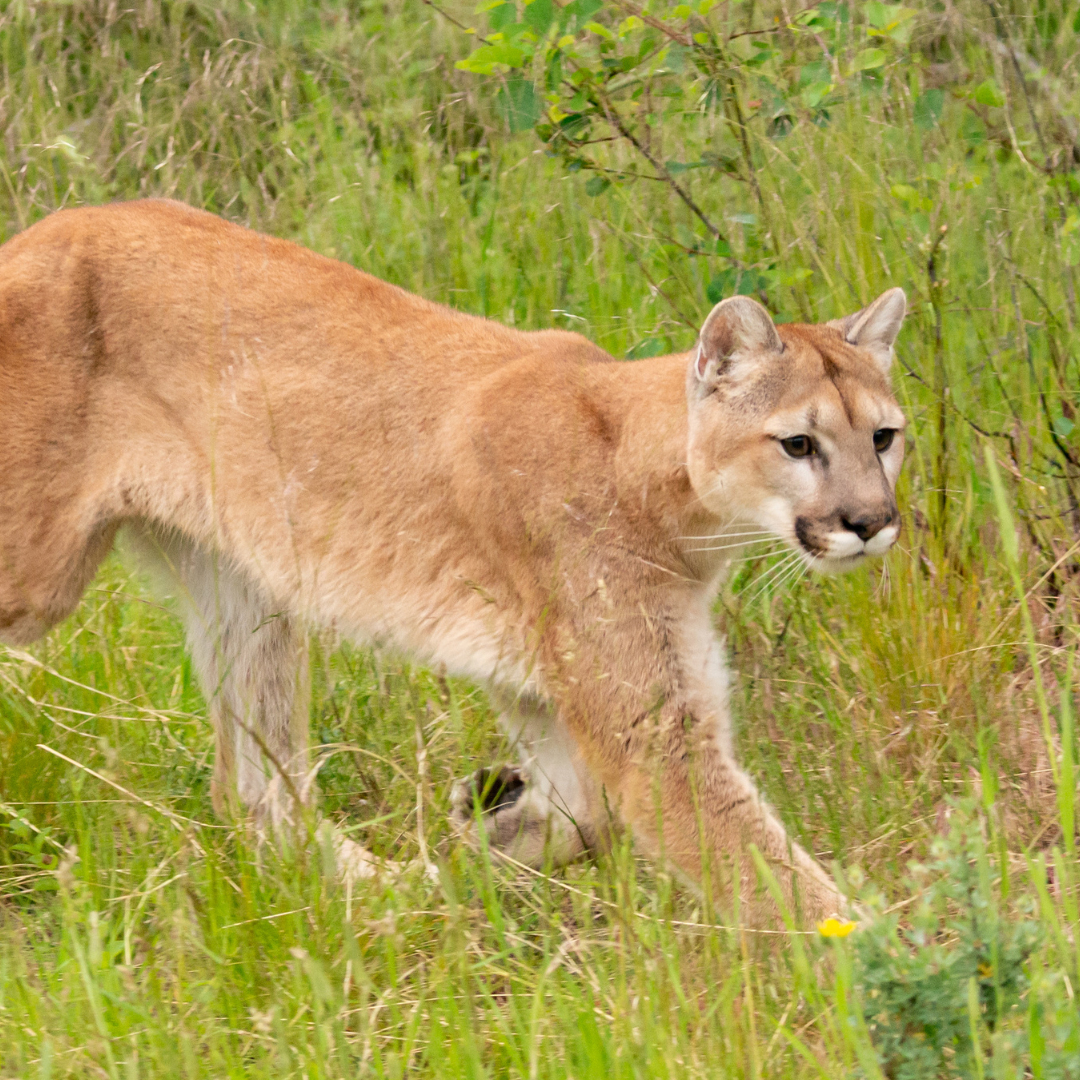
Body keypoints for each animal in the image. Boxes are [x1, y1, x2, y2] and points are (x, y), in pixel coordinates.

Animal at [0, 203, 902, 928]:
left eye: (884, 436)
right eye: (798, 444)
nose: (873, 522)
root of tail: (39, 230)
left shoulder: (549, 693)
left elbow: (585, 818)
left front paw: (472, 843)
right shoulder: (656, 739)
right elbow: (776, 881)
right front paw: (886, 968)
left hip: (246, 584)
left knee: (257, 797)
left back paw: (380, 898)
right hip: (39, 577)